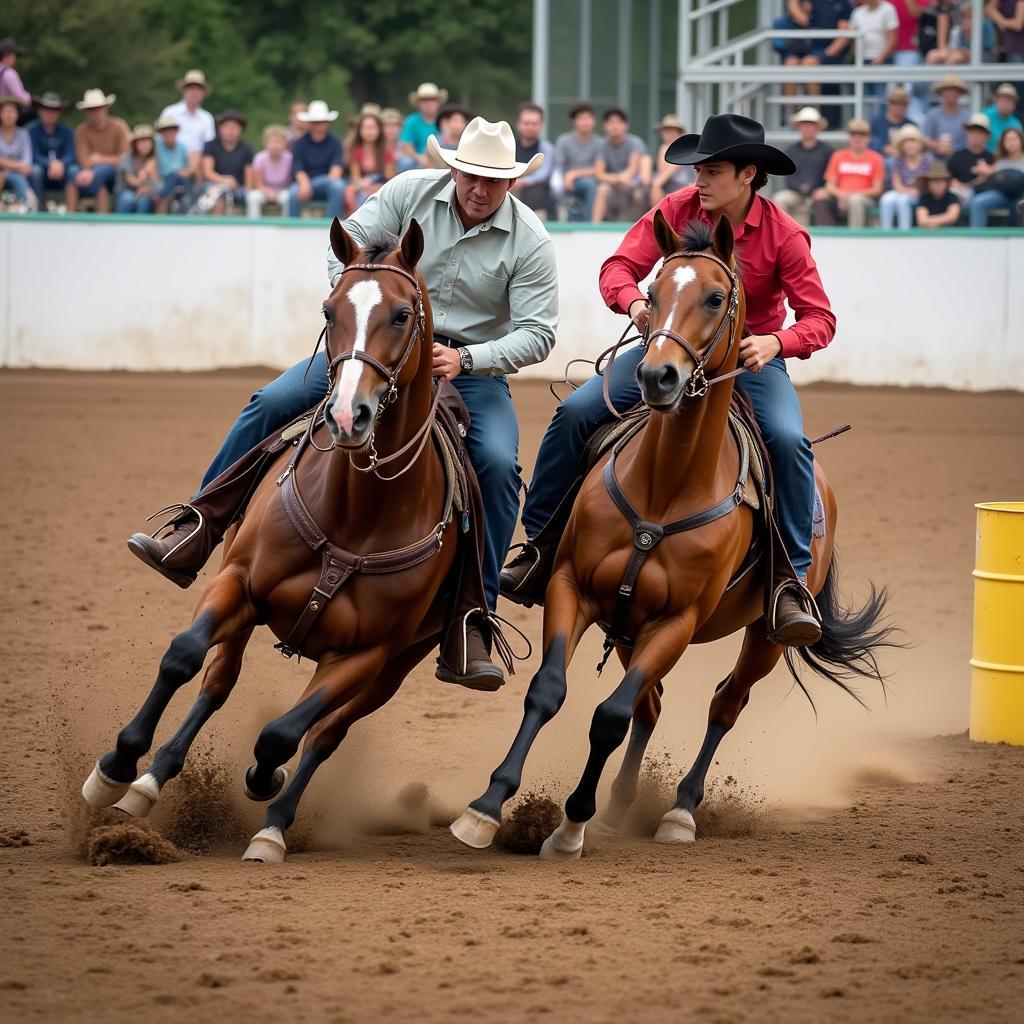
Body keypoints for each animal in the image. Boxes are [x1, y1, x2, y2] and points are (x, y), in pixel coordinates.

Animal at [80, 218, 460, 864]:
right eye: (330, 309)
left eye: (403, 315)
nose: (348, 416)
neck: (357, 512)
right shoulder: (239, 583)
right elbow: (182, 656)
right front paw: (115, 767)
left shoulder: (368, 653)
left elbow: (283, 734)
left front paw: (265, 784)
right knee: (218, 682)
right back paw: (150, 781)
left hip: (393, 669)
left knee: (324, 734)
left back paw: (273, 823)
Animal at [452, 209, 892, 856]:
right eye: (653, 293)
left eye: (715, 297)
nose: (657, 375)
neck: (666, 483)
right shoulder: (572, 588)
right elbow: (549, 690)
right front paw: (486, 808)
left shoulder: (677, 622)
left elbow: (609, 716)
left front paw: (571, 824)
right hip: (626, 625)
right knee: (651, 705)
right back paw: (621, 803)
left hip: (764, 636)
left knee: (724, 704)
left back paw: (680, 810)